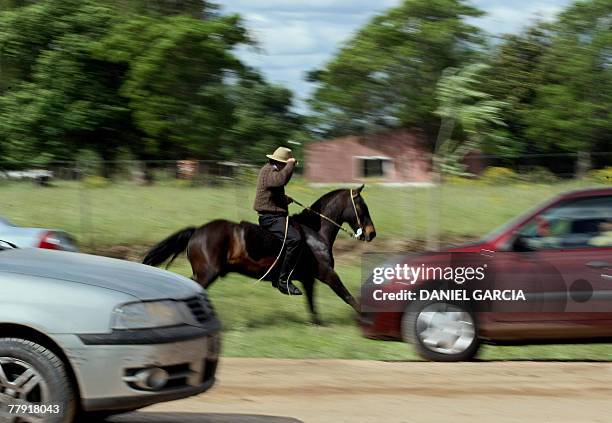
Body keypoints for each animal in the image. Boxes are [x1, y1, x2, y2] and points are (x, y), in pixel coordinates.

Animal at [143, 186, 376, 324]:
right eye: (362, 206)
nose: (372, 233)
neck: (315, 232)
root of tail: (197, 232)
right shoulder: (328, 274)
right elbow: (348, 297)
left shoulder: (309, 279)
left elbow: (312, 305)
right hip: (206, 274)